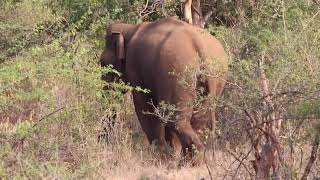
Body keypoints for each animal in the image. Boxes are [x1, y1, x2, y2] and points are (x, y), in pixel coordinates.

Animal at [100, 16, 228, 165]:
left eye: (103, 63)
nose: (103, 143)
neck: (129, 28)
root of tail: (197, 42)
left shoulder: (134, 67)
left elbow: (144, 108)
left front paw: (159, 158)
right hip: (215, 76)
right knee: (198, 118)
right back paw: (188, 161)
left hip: (177, 71)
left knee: (173, 119)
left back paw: (188, 161)